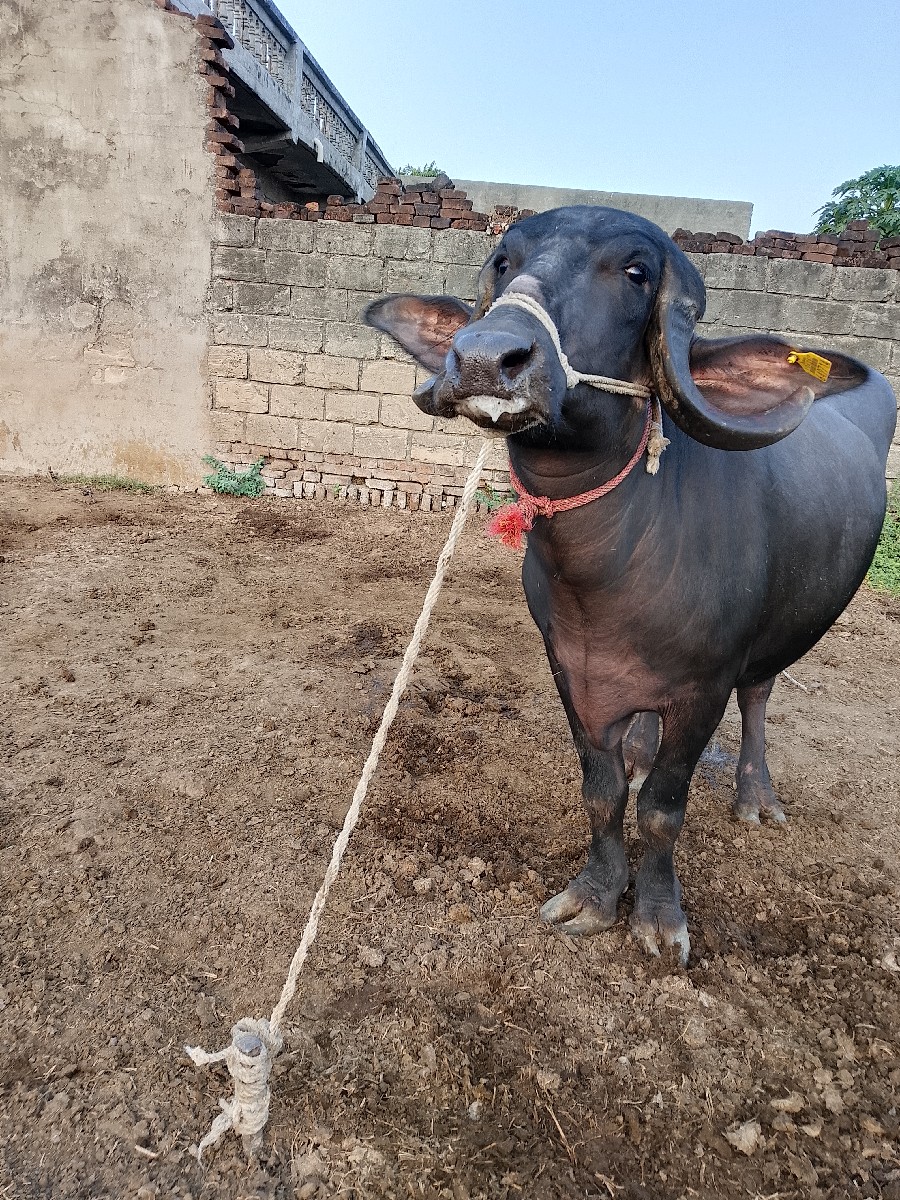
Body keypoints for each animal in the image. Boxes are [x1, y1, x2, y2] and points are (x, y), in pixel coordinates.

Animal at [365, 206, 896, 962]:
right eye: (504, 261)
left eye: (637, 271)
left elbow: (663, 810)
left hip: (775, 642)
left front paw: (657, 917)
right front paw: (594, 895)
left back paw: (757, 797)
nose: (485, 357)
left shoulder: (703, 688)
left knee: (759, 695)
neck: (608, 574)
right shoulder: (571, 669)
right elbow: (603, 790)